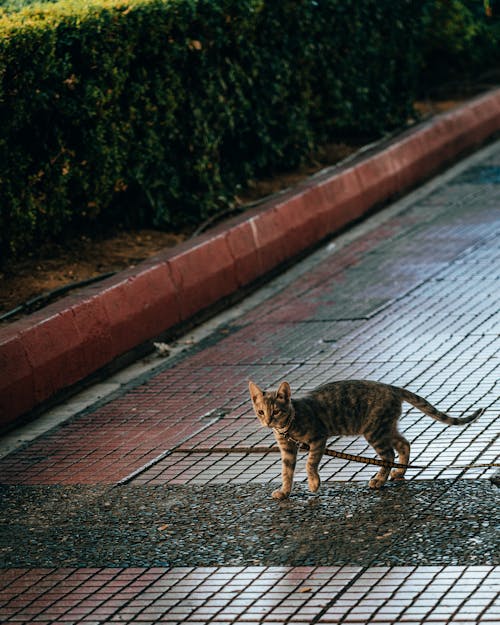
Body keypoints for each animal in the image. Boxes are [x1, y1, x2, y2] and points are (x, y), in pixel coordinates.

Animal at [250, 378, 484, 500]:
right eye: (260, 412)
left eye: (276, 411)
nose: (268, 421)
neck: (287, 426)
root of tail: (391, 388)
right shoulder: (287, 449)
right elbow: (286, 471)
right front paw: (284, 491)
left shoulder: (318, 438)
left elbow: (310, 463)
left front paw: (314, 483)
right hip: (385, 427)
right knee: (403, 444)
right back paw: (399, 472)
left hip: (374, 431)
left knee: (388, 454)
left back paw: (380, 480)